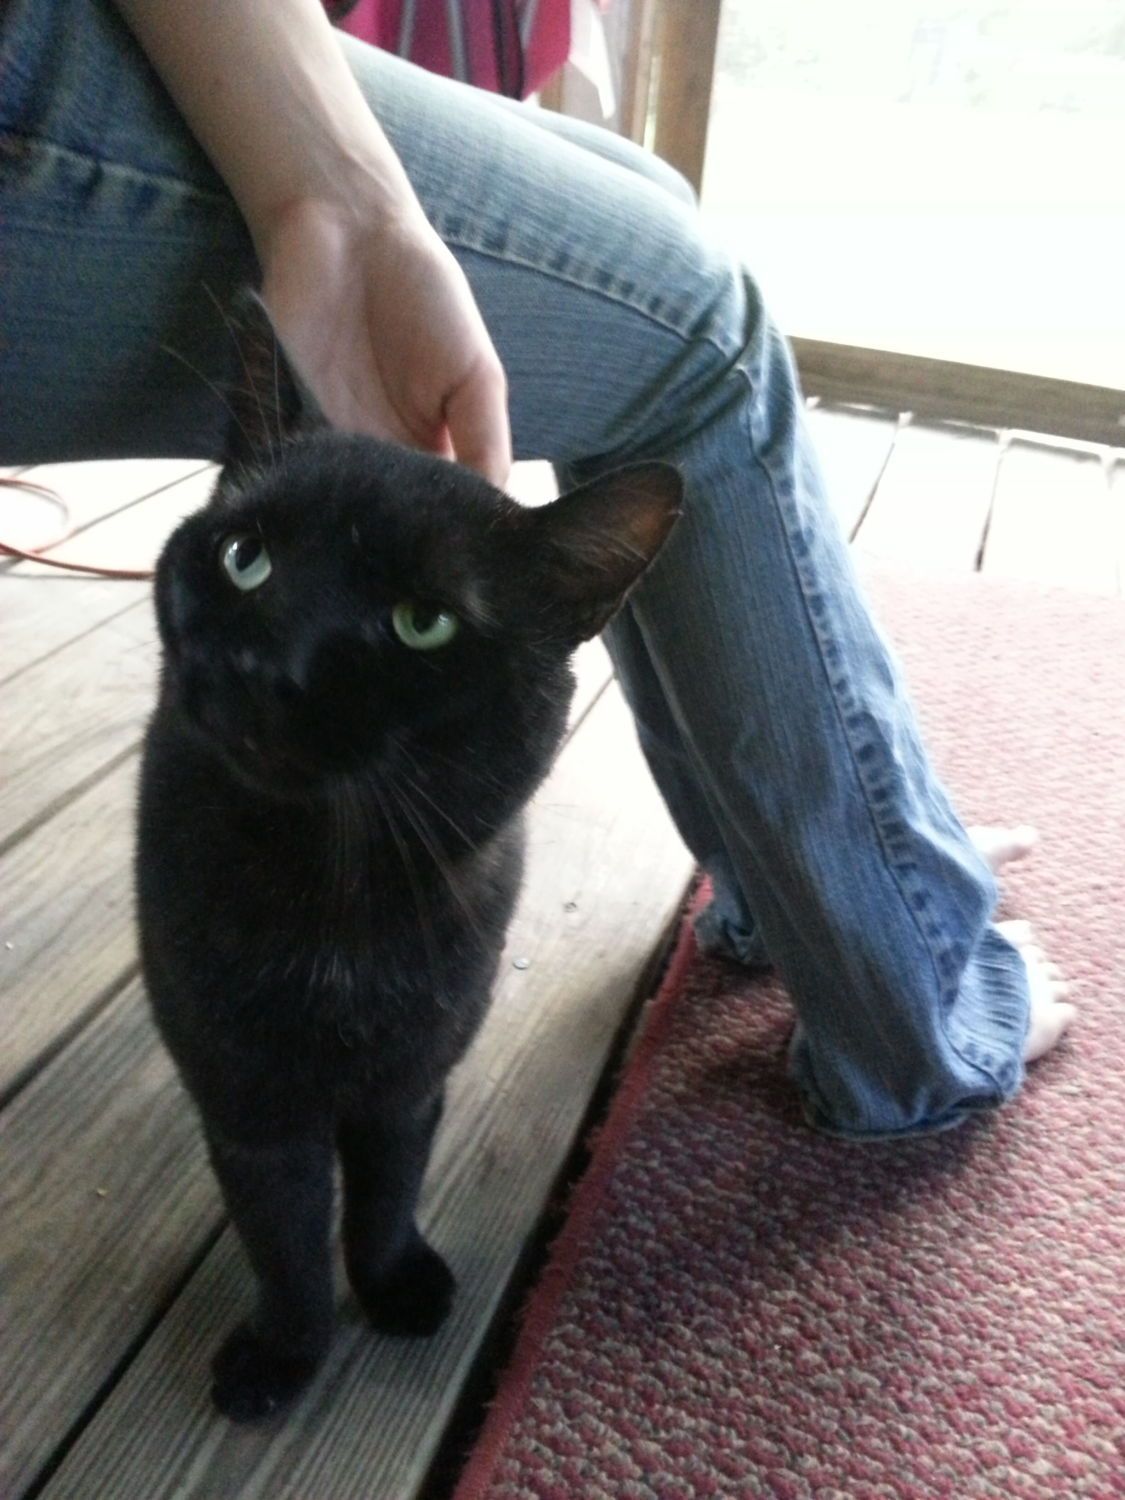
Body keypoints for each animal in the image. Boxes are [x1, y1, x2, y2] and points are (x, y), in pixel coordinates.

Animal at [136, 293, 682, 1422]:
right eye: (246, 556)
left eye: (422, 623)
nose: (265, 661)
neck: (332, 908)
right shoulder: (252, 1107)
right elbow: (285, 1240)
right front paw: (285, 1356)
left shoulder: (412, 1076)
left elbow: (386, 1195)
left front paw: (393, 1286)